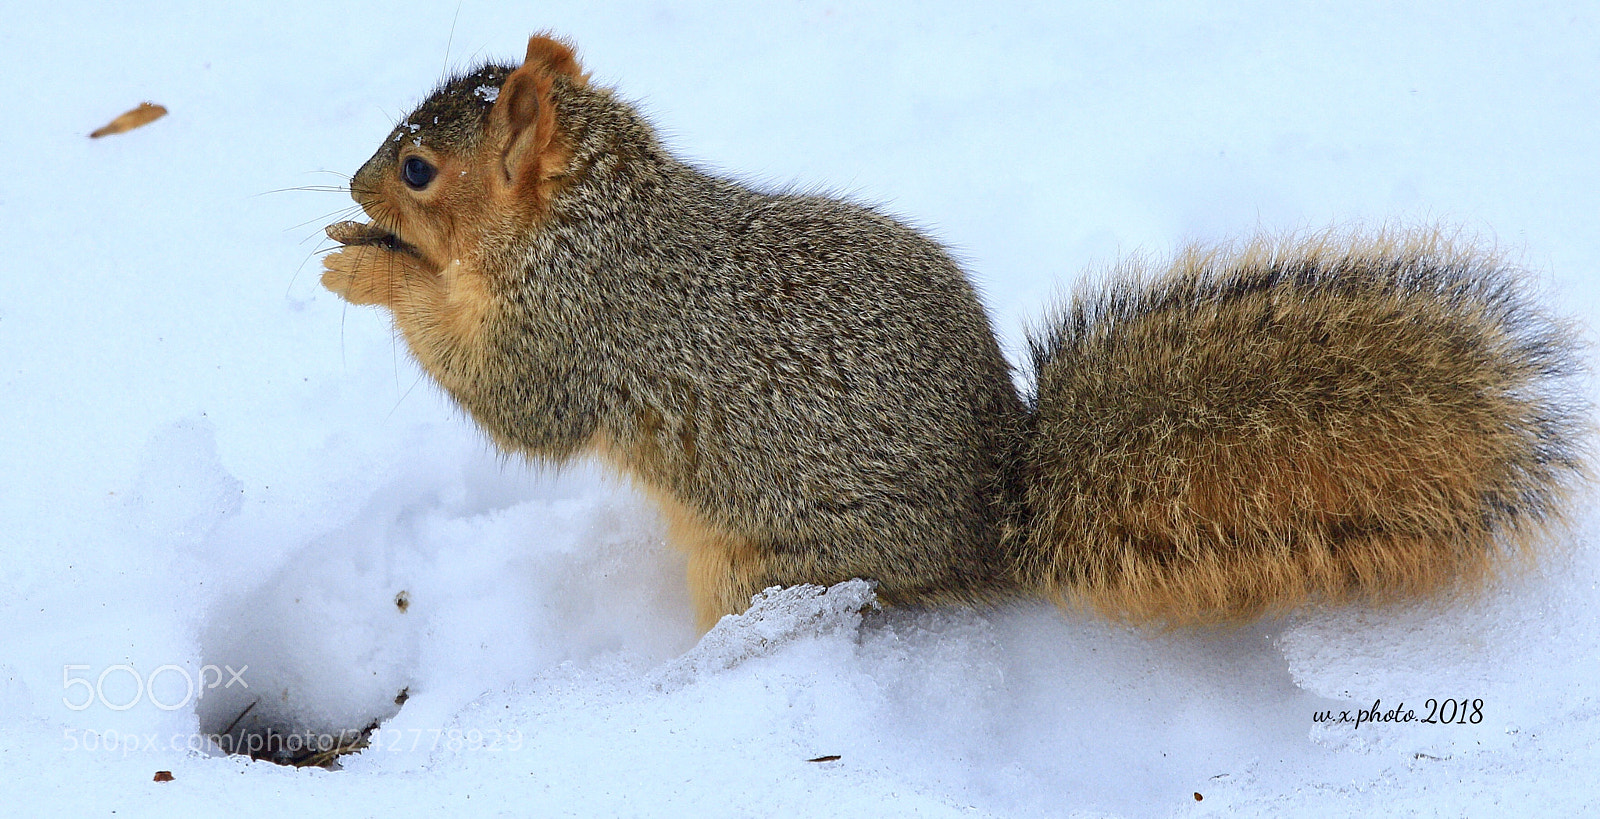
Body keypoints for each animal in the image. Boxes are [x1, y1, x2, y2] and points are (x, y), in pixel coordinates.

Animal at [322, 35, 1588, 631]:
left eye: (421, 168)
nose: (354, 183)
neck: (596, 213)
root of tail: (995, 502)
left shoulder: (579, 323)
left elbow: (512, 402)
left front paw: (364, 268)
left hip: (780, 567)